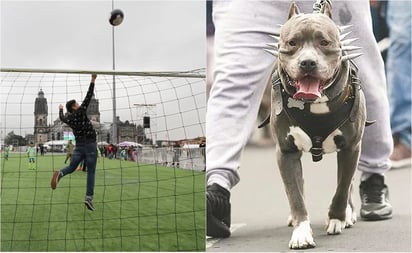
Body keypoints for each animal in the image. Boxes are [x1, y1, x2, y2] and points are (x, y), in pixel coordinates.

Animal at [260, 1, 366, 249]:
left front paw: (337, 218)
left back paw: (348, 213)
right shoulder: (286, 152)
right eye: (292, 43)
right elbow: (295, 194)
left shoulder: (351, 148)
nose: (307, 62)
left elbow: (342, 188)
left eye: (324, 42)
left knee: (347, 185)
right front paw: (301, 232)